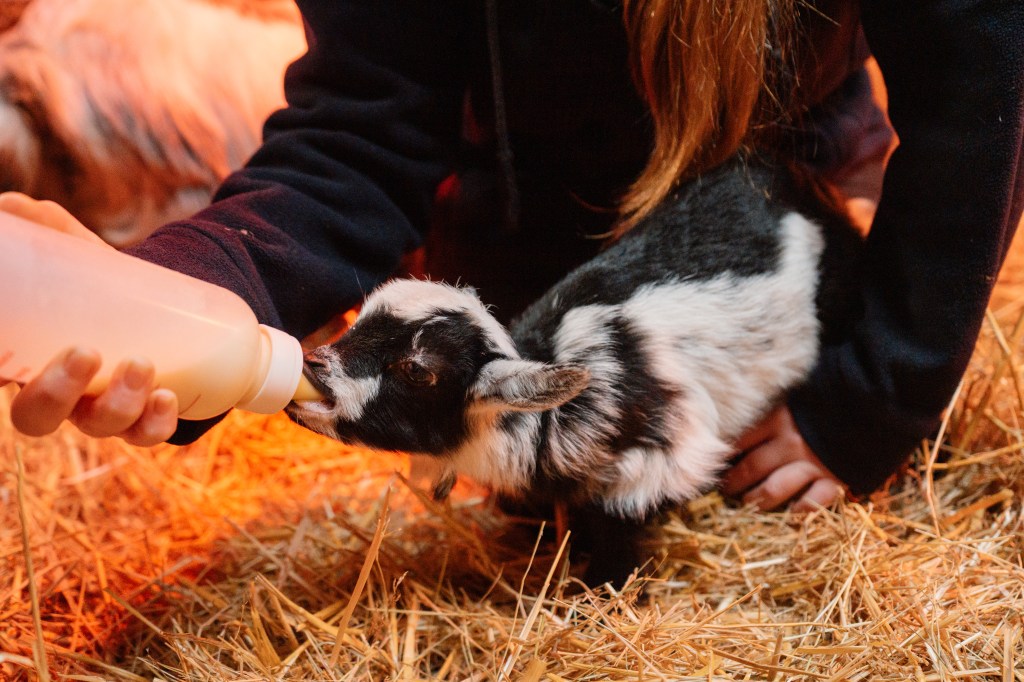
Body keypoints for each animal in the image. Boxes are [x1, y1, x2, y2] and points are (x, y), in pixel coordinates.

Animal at [286, 156, 864, 586]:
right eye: (361, 319)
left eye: (416, 370)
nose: (315, 363)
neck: (548, 419)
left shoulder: (658, 456)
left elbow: (616, 525)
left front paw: (602, 589)